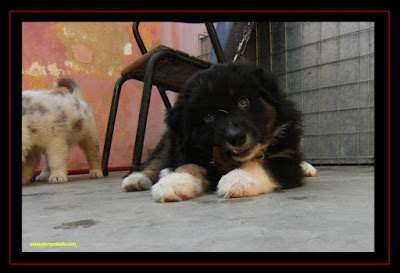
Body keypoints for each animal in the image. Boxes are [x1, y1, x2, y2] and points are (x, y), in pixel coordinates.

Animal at [122, 62, 316, 201]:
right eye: (208, 117)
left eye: (243, 101)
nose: (236, 137)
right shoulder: (191, 149)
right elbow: (188, 165)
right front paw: (176, 181)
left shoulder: (287, 158)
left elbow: (264, 165)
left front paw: (239, 178)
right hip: (170, 140)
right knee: (157, 159)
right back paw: (138, 179)